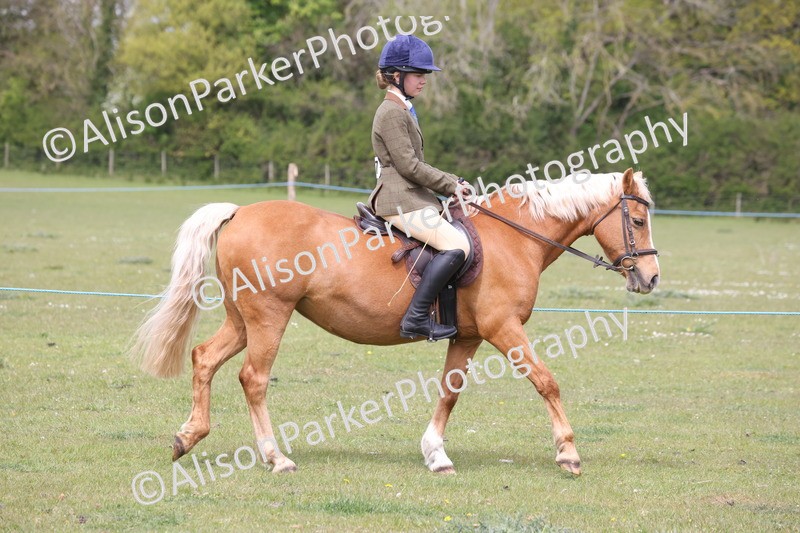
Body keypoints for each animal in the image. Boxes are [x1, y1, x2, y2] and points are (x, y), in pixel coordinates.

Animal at [131, 168, 659, 476]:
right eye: (636, 219)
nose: (651, 278)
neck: (513, 239)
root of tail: (239, 211)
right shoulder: (502, 328)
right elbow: (546, 381)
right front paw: (568, 452)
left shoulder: (468, 337)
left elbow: (449, 391)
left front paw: (435, 453)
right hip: (268, 317)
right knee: (253, 378)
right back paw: (275, 457)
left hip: (242, 319)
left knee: (204, 358)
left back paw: (187, 436)